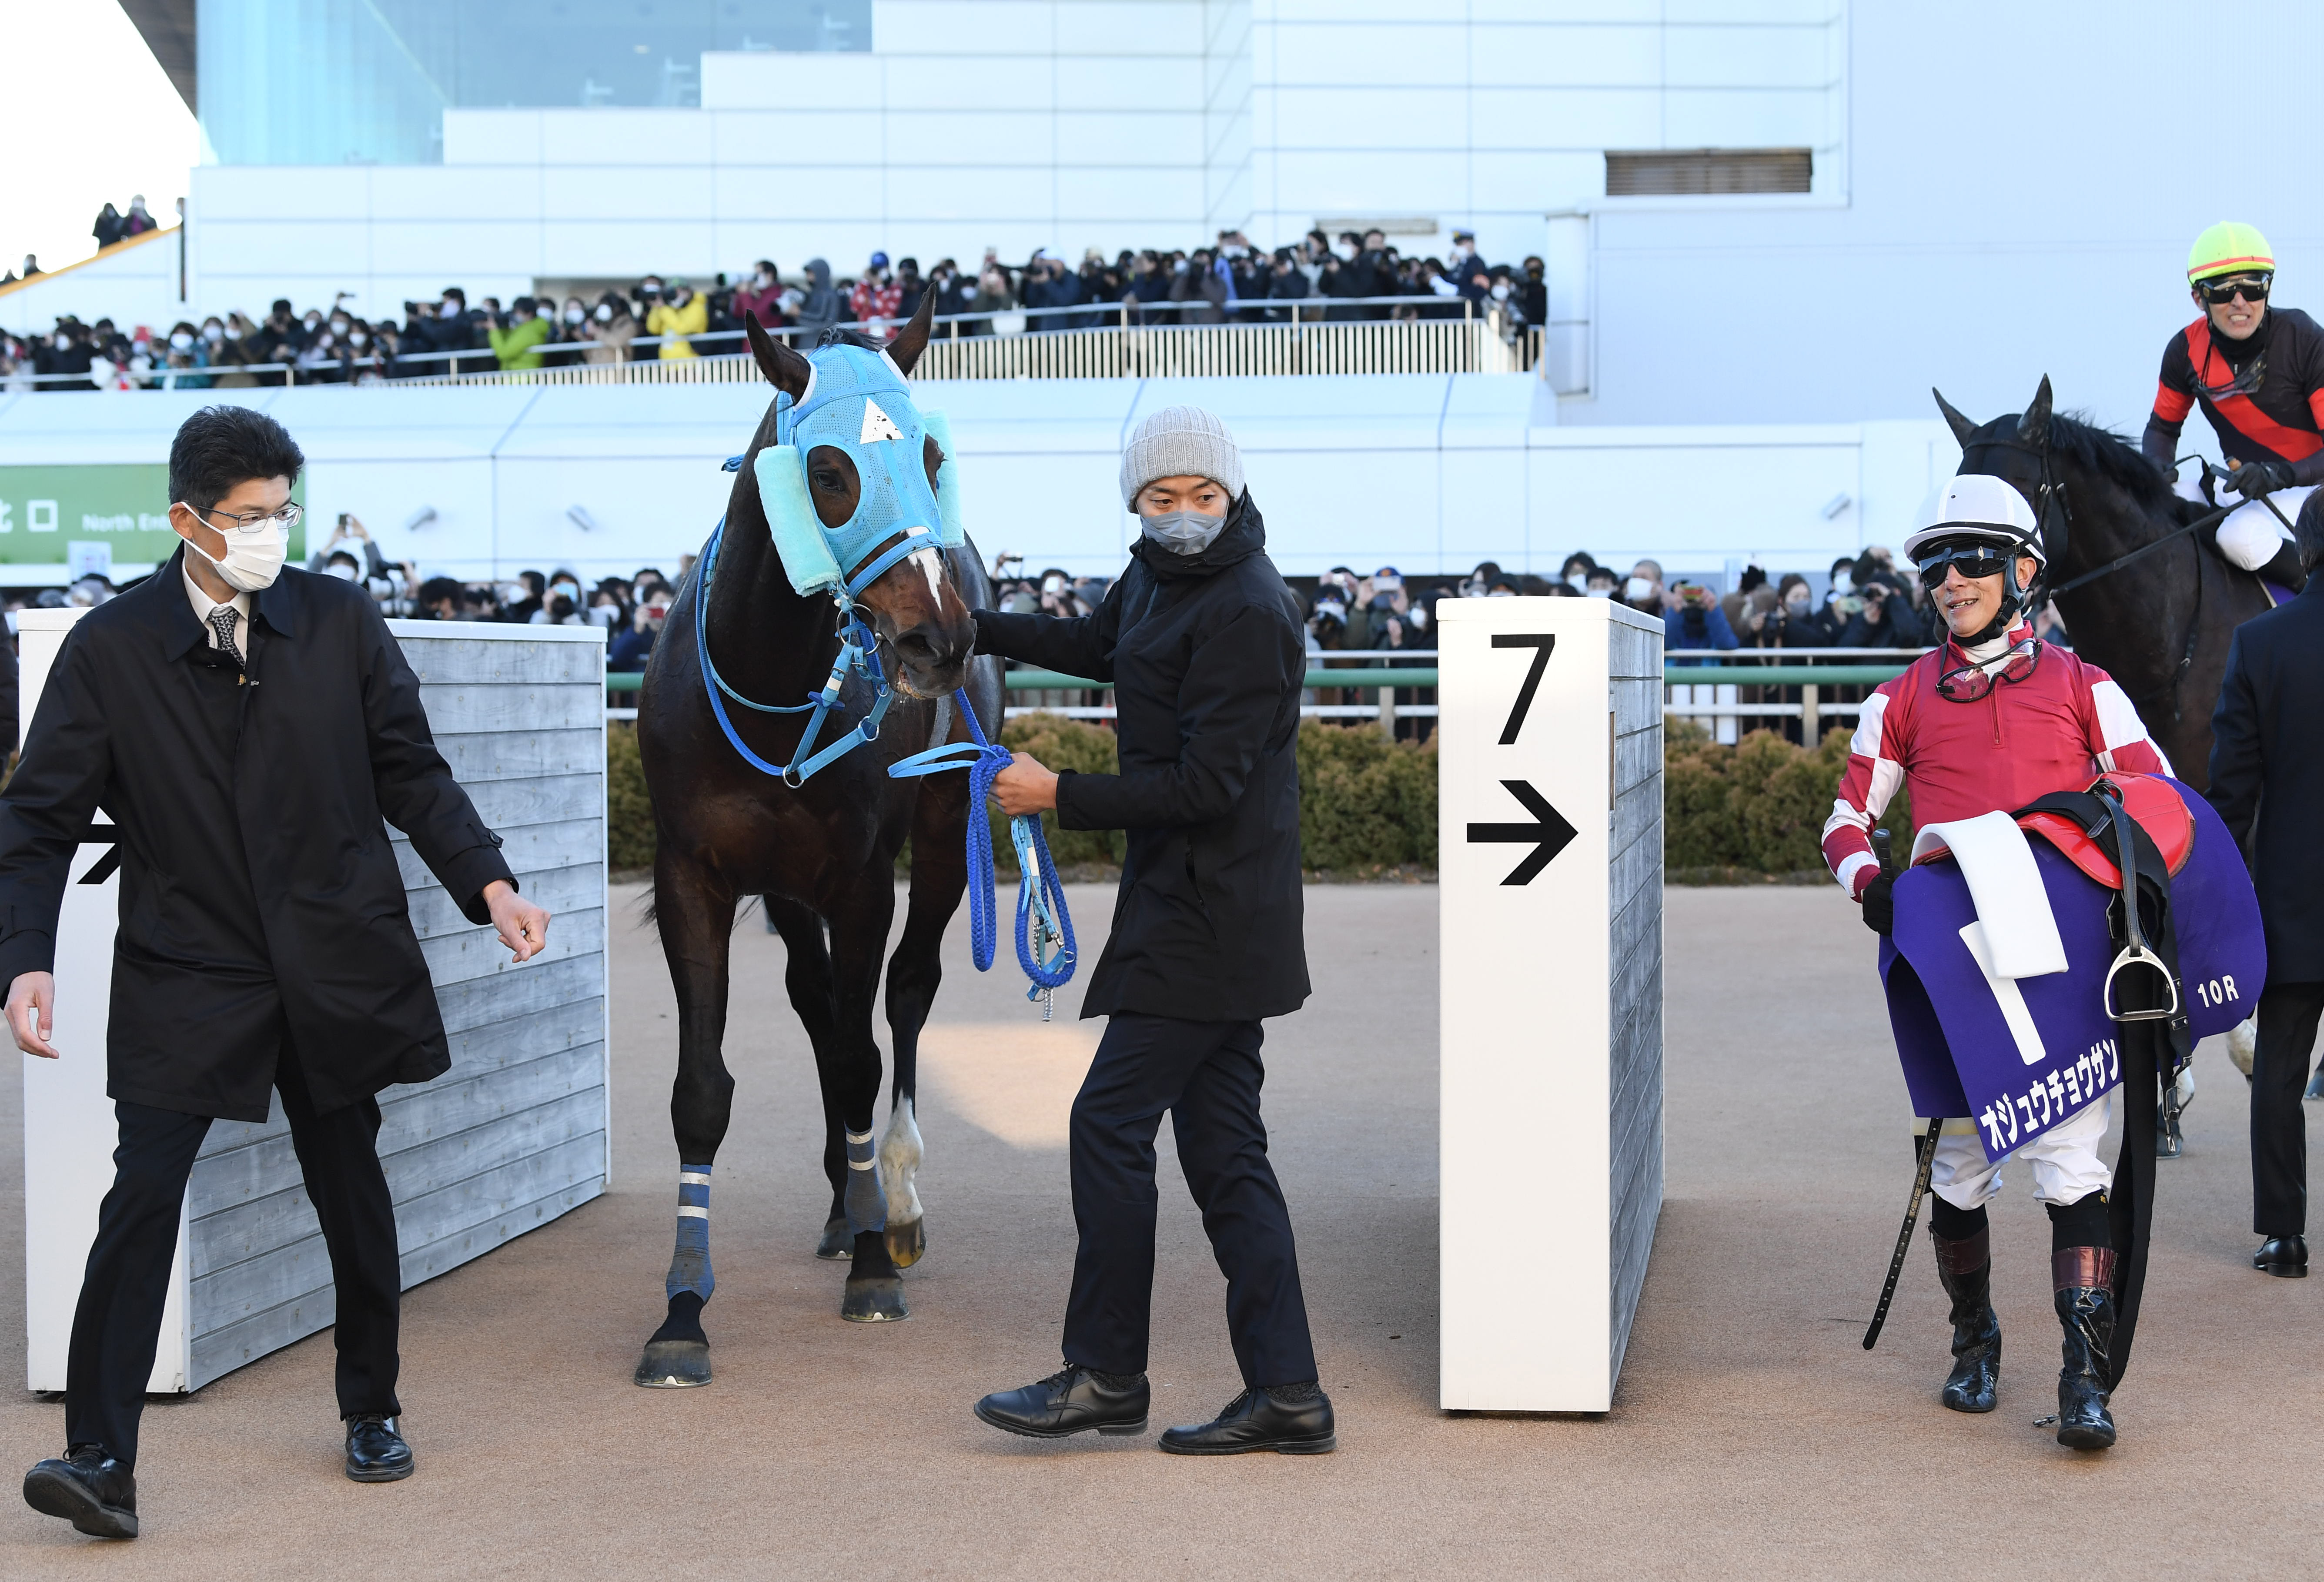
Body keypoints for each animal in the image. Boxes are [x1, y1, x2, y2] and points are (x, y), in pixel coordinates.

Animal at [636, 296, 1008, 1385]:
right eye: (831, 472)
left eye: (929, 453)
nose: (940, 640)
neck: (770, 692)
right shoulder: (697, 874)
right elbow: (702, 1091)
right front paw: (682, 1311)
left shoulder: (859, 878)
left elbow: (859, 1061)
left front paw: (878, 1268)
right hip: (788, 890)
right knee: (815, 1002)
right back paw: (850, 1207)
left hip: (942, 836)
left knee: (907, 994)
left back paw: (895, 1203)